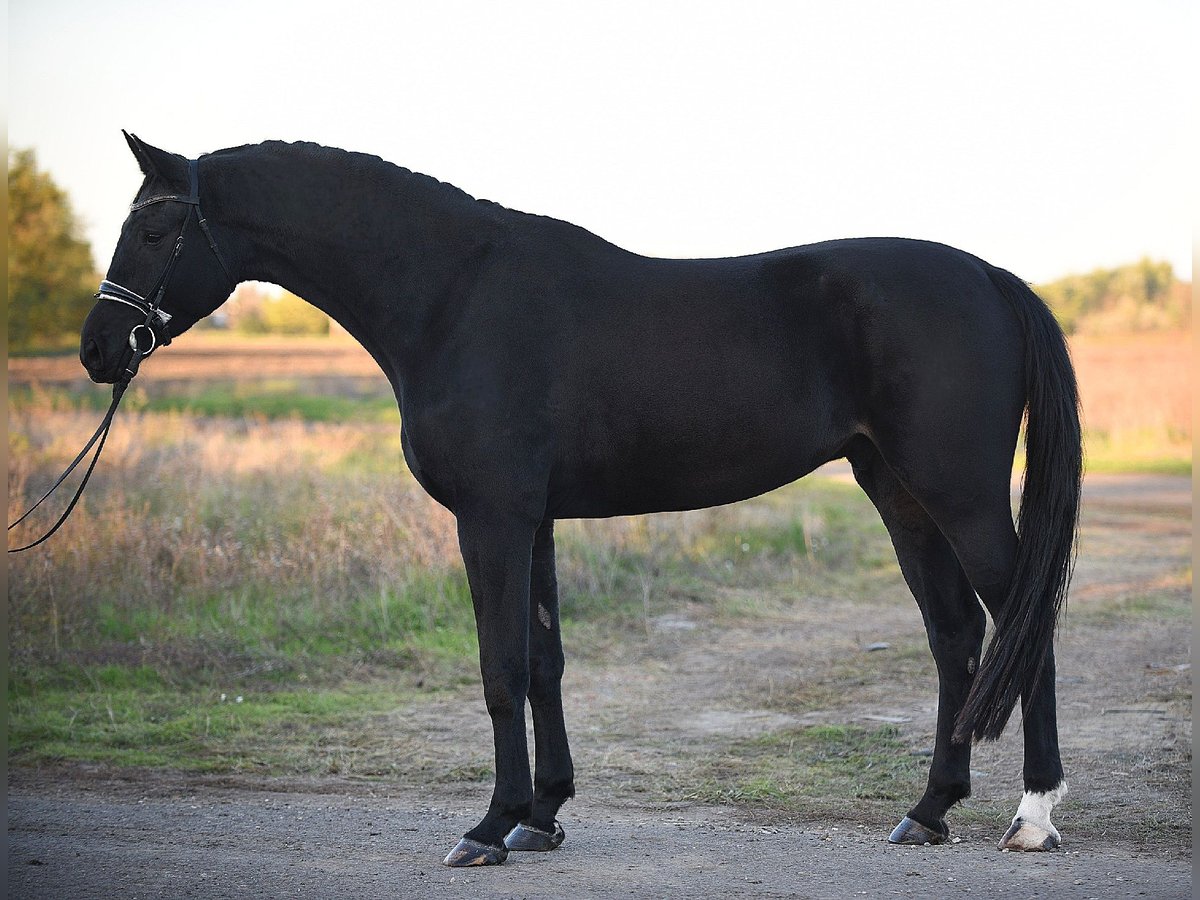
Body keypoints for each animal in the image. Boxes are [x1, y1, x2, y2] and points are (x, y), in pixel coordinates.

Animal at [79, 135, 1084, 868]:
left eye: (157, 233)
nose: (98, 349)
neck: (452, 296)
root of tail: (991, 278)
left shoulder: (490, 520)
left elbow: (500, 669)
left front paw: (488, 828)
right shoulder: (535, 523)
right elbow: (545, 662)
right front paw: (543, 815)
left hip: (958, 493)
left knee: (1023, 624)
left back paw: (1032, 817)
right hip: (899, 491)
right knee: (956, 635)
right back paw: (929, 810)